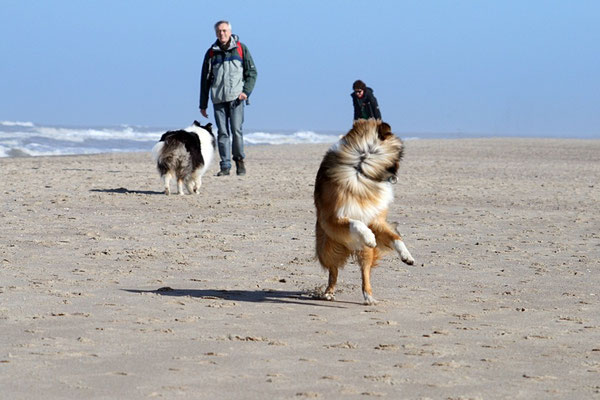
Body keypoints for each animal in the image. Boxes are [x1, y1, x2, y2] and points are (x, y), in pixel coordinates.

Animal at [314, 117, 412, 304]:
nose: (396, 177)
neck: (361, 168)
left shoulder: (376, 220)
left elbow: (395, 237)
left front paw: (407, 256)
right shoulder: (332, 218)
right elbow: (356, 223)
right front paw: (369, 237)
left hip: (364, 253)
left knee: (364, 272)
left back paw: (369, 297)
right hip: (327, 246)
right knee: (333, 270)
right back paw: (329, 292)